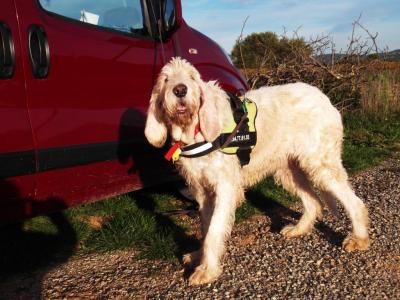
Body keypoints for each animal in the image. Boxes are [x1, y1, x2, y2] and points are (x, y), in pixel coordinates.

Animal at [143, 58, 368, 286]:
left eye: (191, 77)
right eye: (166, 79)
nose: (180, 90)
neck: (194, 131)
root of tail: (324, 97)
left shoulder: (225, 188)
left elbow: (214, 229)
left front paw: (207, 270)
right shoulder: (202, 191)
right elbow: (205, 227)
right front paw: (199, 255)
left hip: (320, 165)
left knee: (355, 202)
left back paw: (359, 238)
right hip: (288, 171)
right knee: (313, 202)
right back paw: (299, 229)